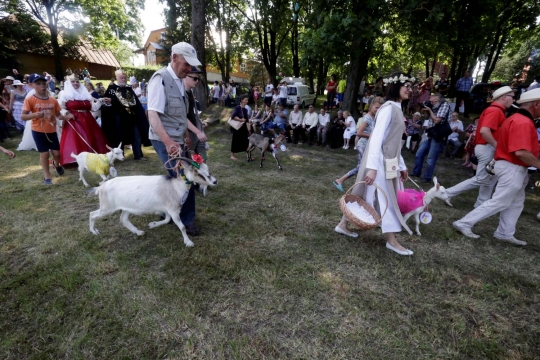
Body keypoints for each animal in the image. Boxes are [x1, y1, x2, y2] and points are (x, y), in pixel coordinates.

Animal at [87, 158, 216, 248]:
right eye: (197, 172)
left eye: (207, 169)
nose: (214, 181)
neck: (175, 186)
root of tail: (101, 187)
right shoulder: (173, 210)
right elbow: (182, 227)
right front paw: (188, 242)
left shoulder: (166, 209)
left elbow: (167, 220)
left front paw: (152, 224)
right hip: (107, 207)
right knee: (92, 214)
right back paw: (94, 231)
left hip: (127, 208)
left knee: (123, 219)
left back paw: (139, 232)